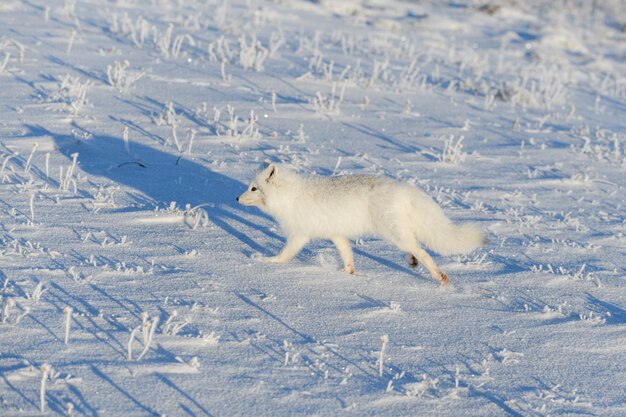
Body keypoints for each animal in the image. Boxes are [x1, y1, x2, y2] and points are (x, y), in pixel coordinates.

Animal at [236, 162, 486, 282]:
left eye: (254, 188)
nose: (236, 199)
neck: (290, 196)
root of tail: (403, 189)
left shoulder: (299, 234)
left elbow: (284, 254)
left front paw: (267, 261)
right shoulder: (336, 233)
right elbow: (347, 254)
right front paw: (349, 273)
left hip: (393, 233)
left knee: (422, 251)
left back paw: (439, 276)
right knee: (415, 247)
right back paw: (412, 261)